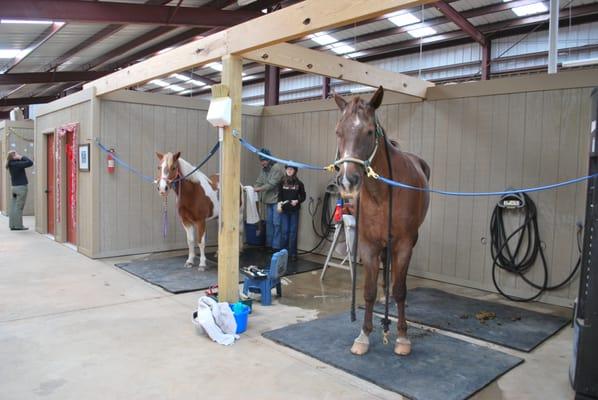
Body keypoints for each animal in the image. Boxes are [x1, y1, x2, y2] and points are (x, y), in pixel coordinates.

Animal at [336, 86, 428, 356]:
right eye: (338, 131)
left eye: (368, 131)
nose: (347, 181)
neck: (382, 193)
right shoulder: (368, 244)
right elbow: (368, 291)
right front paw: (364, 335)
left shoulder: (404, 243)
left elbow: (401, 290)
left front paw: (402, 338)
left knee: (397, 278)